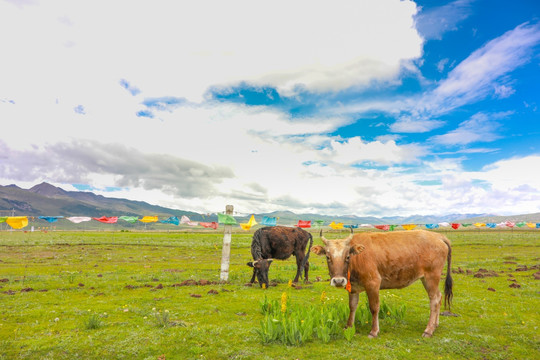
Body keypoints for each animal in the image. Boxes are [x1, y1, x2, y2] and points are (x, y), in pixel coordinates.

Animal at [310, 231, 454, 338]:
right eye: (328, 257)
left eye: (347, 256)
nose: (339, 281)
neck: (358, 258)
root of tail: (437, 236)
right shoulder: (354, 288)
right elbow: (352, 306)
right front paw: (349, 326)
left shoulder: (373, 283)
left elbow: (374, 307)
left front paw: (374, 331)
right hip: (426, 278)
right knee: (439, 297)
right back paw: (435, 325)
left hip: (431, 276)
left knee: (434, 299)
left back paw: (428, 330)